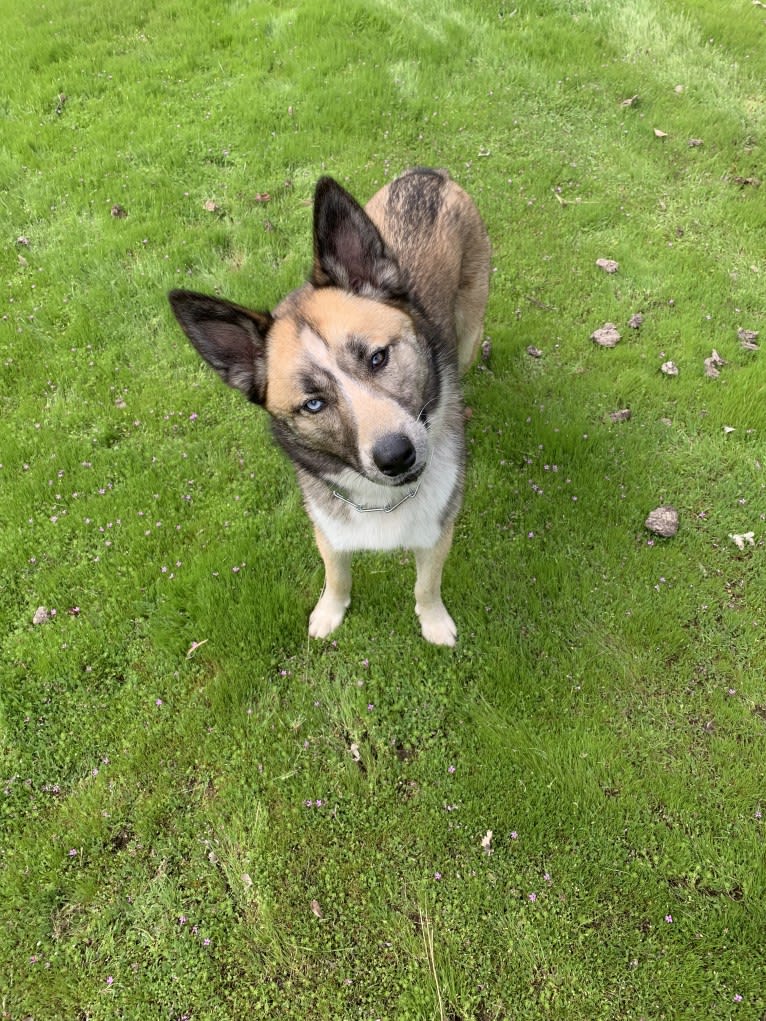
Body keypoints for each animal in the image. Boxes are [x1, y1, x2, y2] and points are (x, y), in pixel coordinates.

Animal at [168, 167, 492, 645]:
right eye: (314, 404)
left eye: (377, 357)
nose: (396, 456)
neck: (381, 499)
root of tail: (427, 175)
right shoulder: (329, 531)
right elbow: (336, 575)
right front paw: (330, 612)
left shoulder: (437, 533)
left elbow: (426, 585)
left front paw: (433, 621)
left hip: (470, 329)